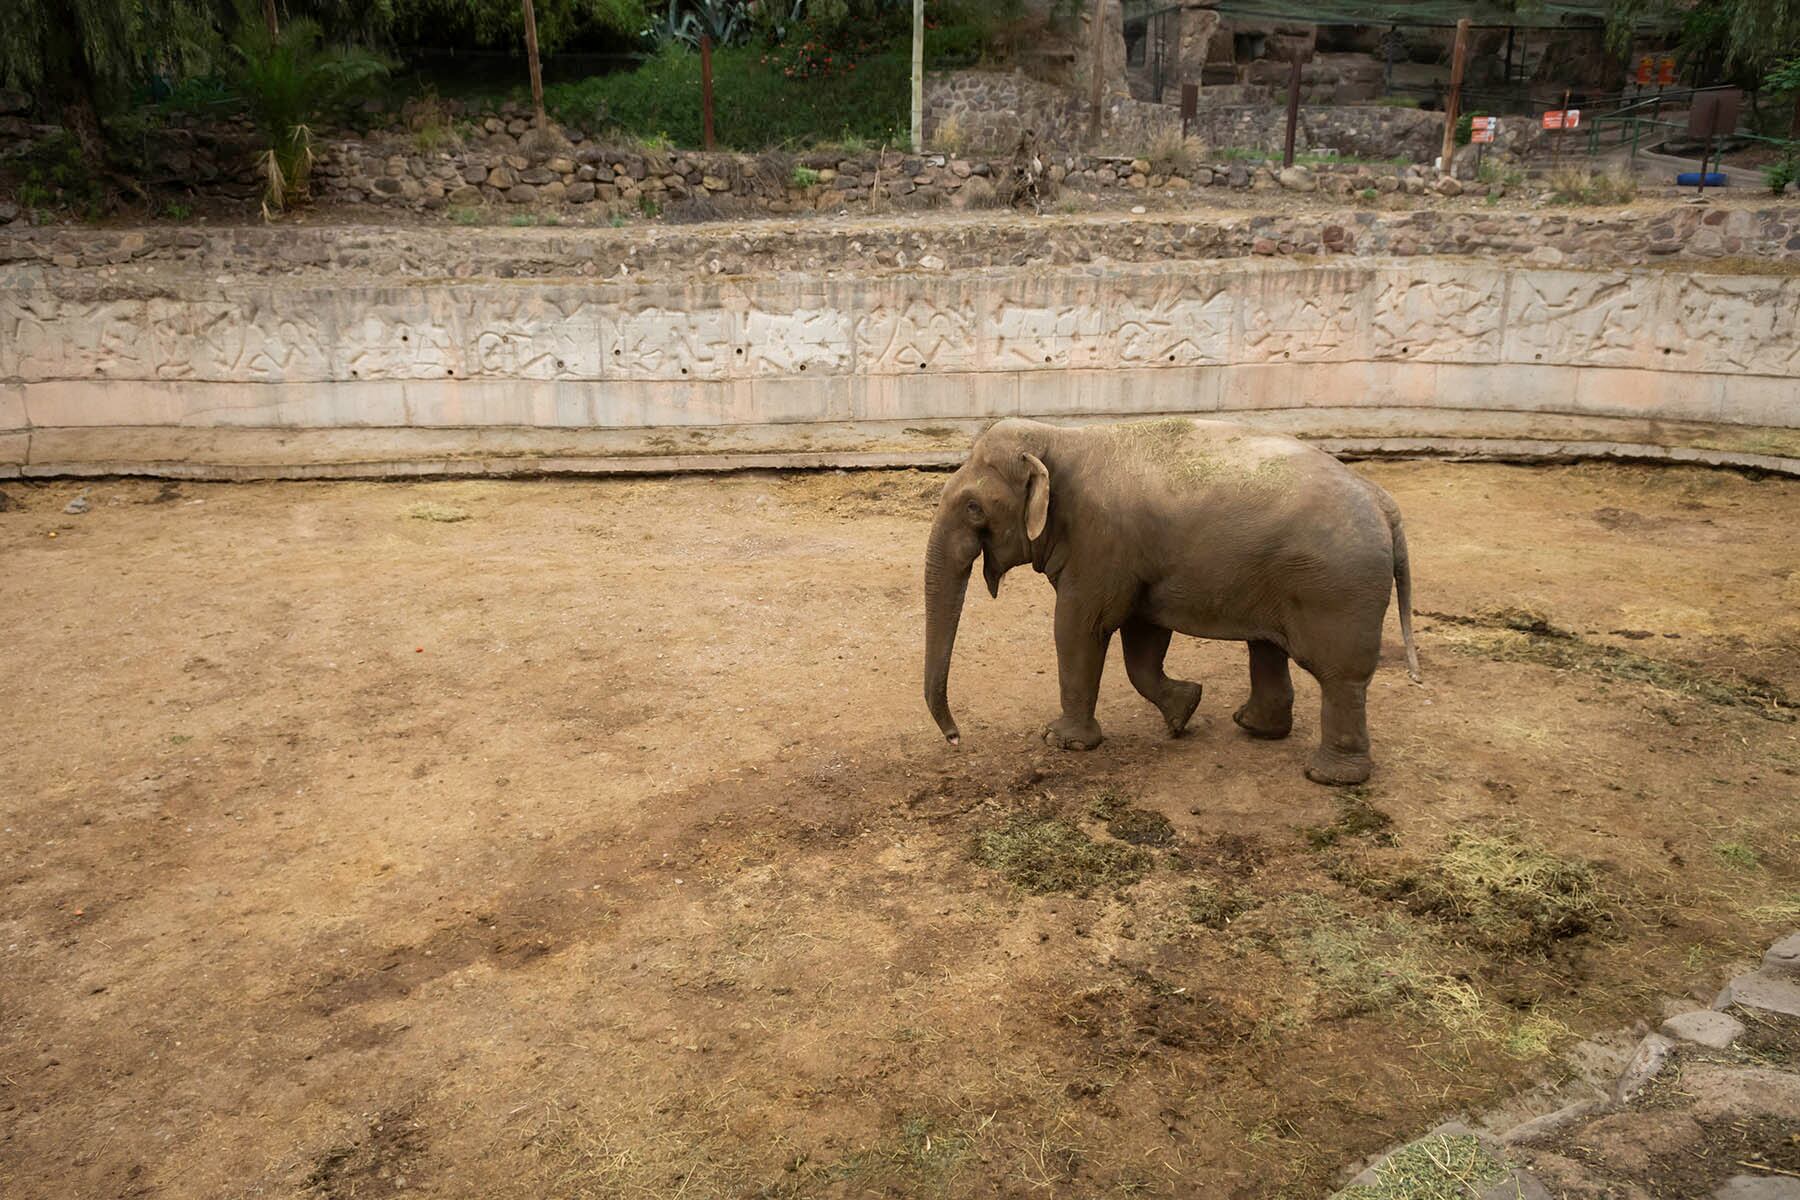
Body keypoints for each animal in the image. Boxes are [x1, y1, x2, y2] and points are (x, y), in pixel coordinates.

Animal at [928, 417, 1418, 784]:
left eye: (973, 507)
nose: (955, 738)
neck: (1061, 437)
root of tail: (1385, 504)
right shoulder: (1137, 560)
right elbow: (1142, 637)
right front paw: (1184, 711)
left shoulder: (1101, 543)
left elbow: (1080, 625)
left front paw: (1061, 742)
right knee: (1267, 647)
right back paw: (1254, 727)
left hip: (1336, 589)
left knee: (1340, 675)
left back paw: (1328, 777)